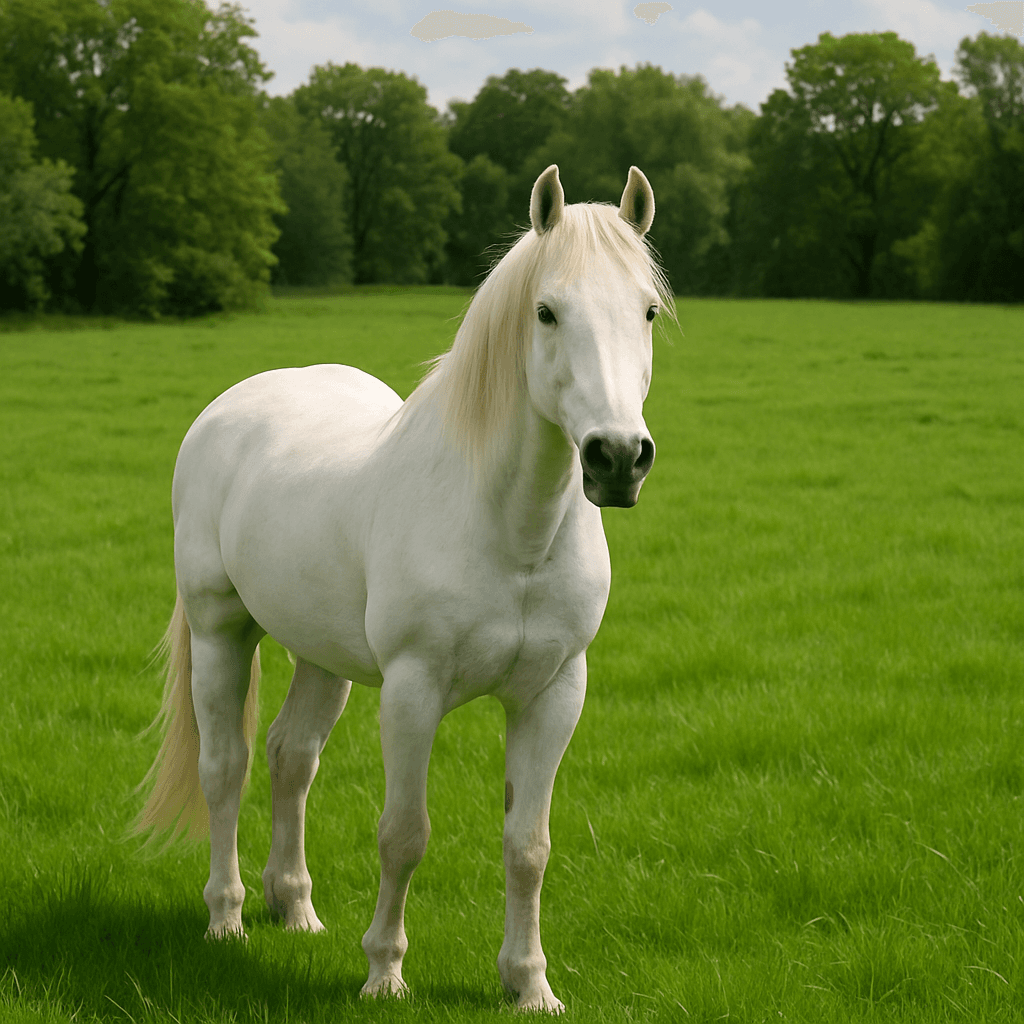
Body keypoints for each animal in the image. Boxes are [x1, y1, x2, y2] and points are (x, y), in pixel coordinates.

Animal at [134, 163, 673, 1013]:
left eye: (647, 311)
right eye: (547, 312)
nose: (618, 458)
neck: (510, 532)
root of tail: (230, 407)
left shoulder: (554, 693)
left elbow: (528, 845)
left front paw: (530, 985)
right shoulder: (413, 691)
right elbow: (404, 834)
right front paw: (384, 973)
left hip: (322, 656)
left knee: (291, 757)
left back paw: (296, 908)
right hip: (223, 632)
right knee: (227, 767)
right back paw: (227, 918)